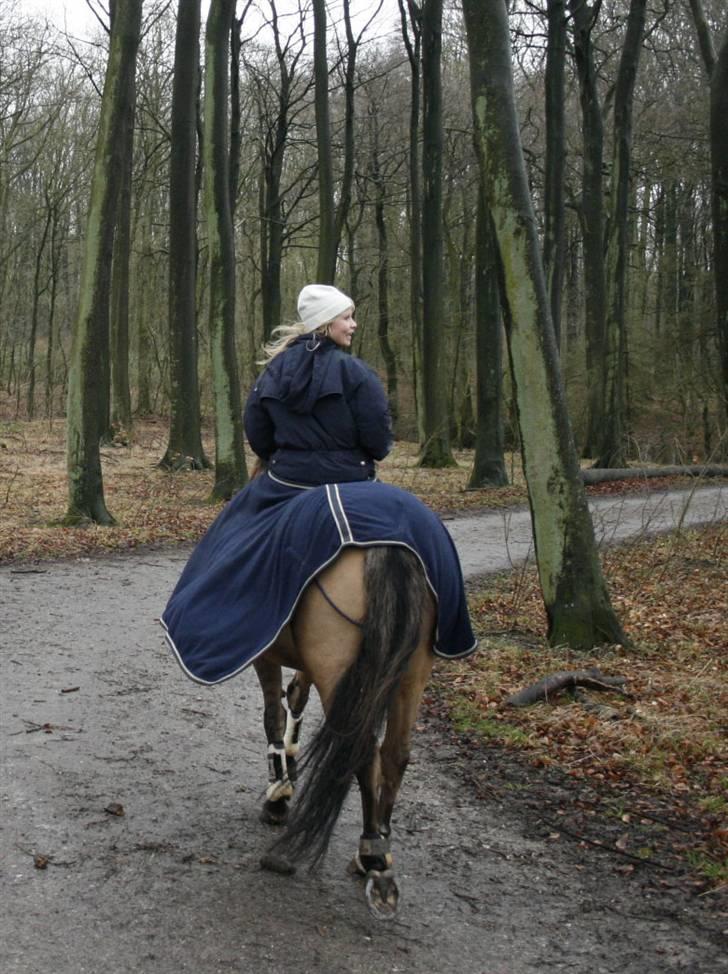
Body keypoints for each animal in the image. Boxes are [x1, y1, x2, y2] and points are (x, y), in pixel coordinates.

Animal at [252, 540, 432, 924]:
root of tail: (388, 549)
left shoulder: (266, 651)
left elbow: (273, 714)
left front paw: (278, 795)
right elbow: (296, 695)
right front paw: (290, 761)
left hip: (339, 668)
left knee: (362, 752)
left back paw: (374, 858)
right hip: (411, 675)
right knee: (395, 755)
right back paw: (378, 847)